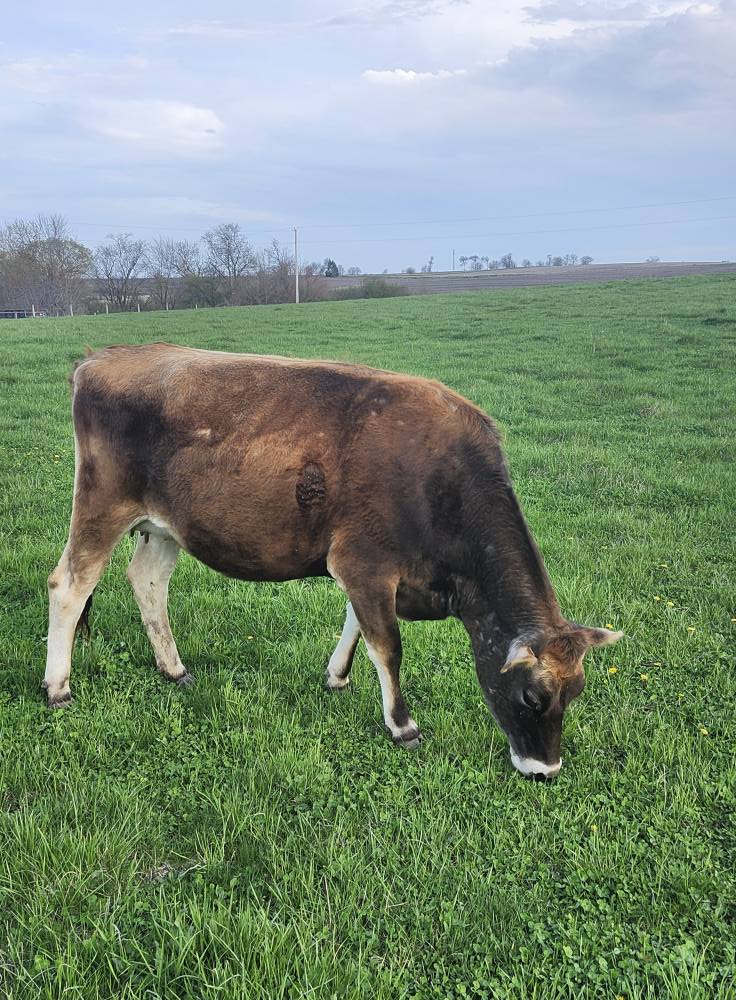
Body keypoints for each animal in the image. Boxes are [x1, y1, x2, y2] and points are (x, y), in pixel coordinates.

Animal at [45, 343, 622, 779]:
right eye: (532, 697)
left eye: (576, 692)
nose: (545, 770)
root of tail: (101, 358)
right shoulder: (365, 562)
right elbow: (387, 646)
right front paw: (402, 725)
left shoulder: (367, 569)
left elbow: (356, 626)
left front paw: (338, 677)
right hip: (102, 504)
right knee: (70, 585)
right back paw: (58, 687)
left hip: (165, 525)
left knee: (147, 581)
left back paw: (174, 668)